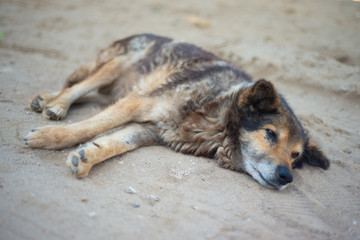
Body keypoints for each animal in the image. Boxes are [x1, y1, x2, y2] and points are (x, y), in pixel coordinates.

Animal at [23, 33, 330, 190]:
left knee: (82, 88)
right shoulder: (139, 102)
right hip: (117, 65)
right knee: (77, 86)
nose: (286, 177)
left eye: (295, 156)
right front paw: (49, 137)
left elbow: (114, 143)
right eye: (270, 134)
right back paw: (56, 105)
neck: (217, 112)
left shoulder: (149, 130)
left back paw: (45, 98)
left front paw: (86, 157)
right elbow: (90, 126)